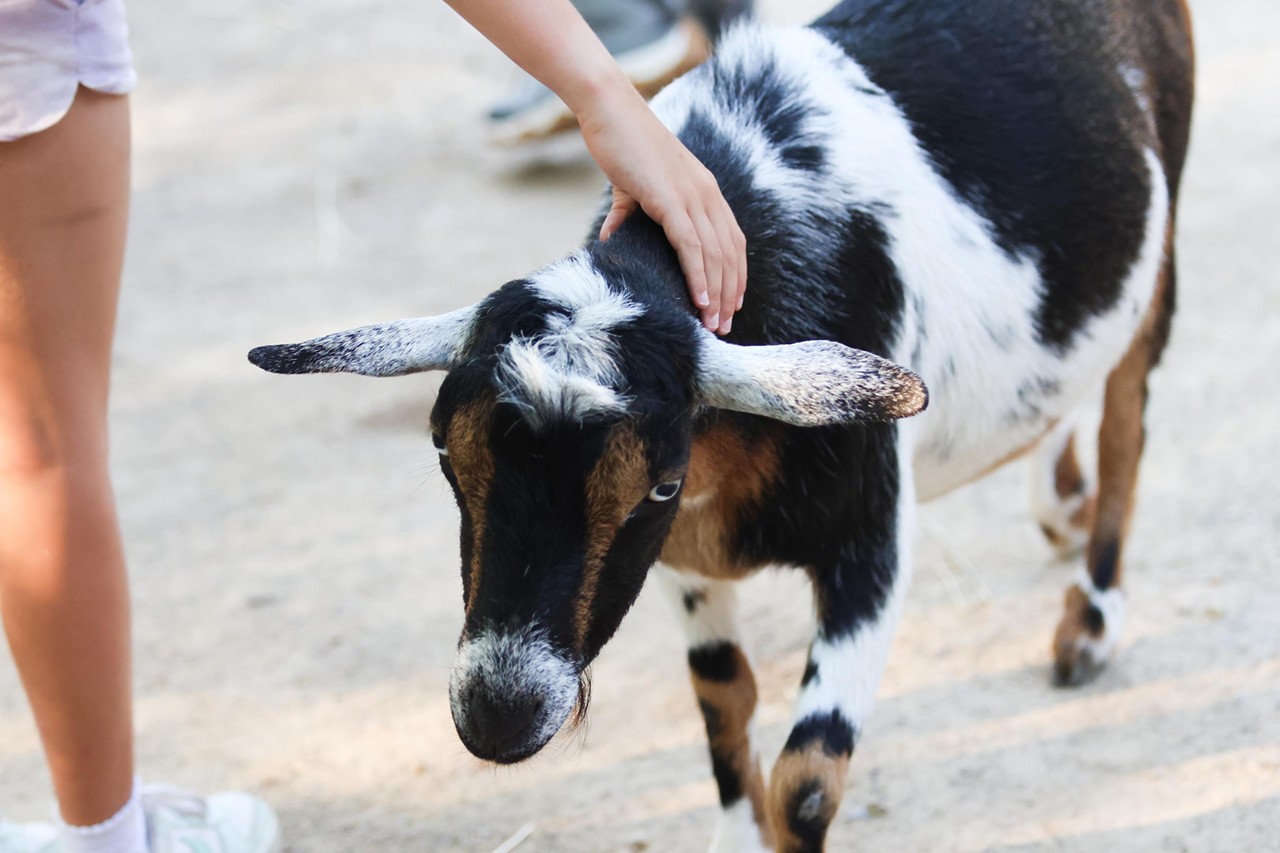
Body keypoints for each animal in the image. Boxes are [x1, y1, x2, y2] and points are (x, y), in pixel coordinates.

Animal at [252, 3, 1198, 845]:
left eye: (658, 481)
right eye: (448, 453)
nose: (499, 716)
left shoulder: (872, 543)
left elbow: (807, 782)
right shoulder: (681, 561)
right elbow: (723, 696)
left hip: (1163, 240)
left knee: (1127, 423)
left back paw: (1091, 617)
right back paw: (1060, 503)